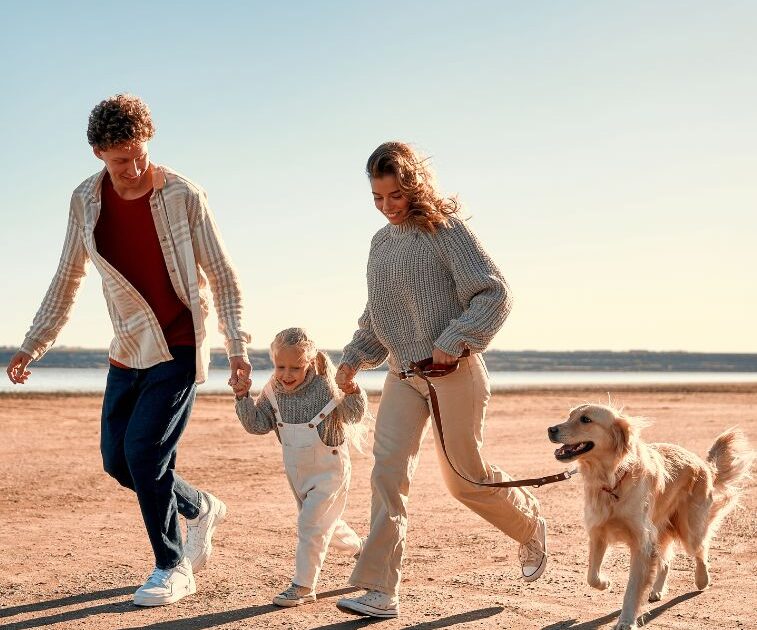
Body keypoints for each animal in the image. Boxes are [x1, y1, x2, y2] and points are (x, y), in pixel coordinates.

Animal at [548, 404, 752, 630]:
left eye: (585, 419)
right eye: (570, 415)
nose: (550, 429)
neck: (613, 479)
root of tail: (704, 464)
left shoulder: (642, 542)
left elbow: (633, 587)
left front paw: (626, 620)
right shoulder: (598, 533)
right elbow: (591, 575)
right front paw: (605, 583)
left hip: (689, 528)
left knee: (700, 550)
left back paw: (702, 580)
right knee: (666, 561)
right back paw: (657, 590)